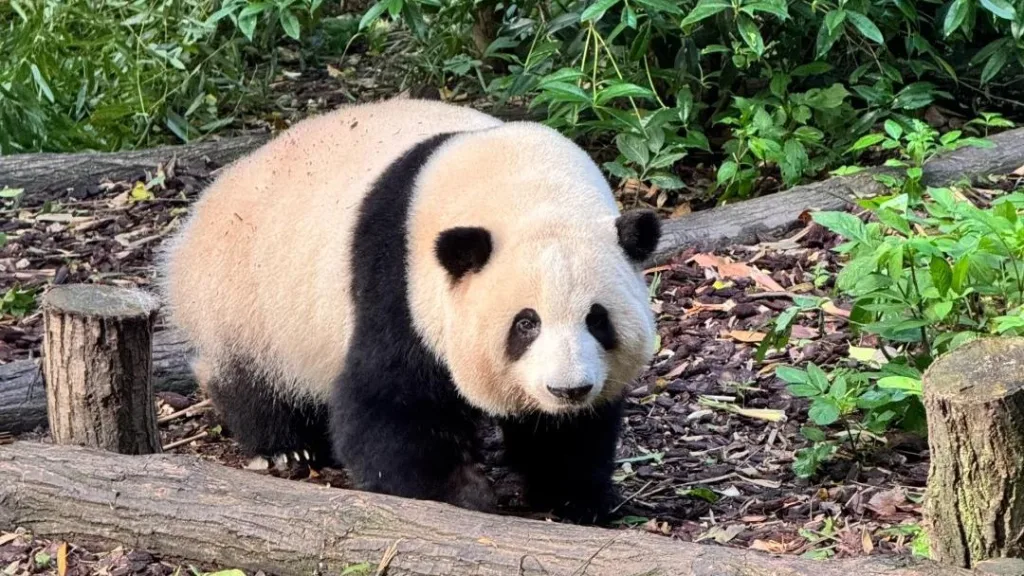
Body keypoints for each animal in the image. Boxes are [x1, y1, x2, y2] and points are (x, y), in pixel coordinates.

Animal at [158, 98, 661, 522]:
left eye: (597, 319)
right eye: (526, 323)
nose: (568, 389)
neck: (524, 186)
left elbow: (573, 432)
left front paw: (572, 494)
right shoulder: (397, 278)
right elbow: (389, 400)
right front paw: (461, 492)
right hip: (246, 295)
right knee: (249, 375)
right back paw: (286, 448)